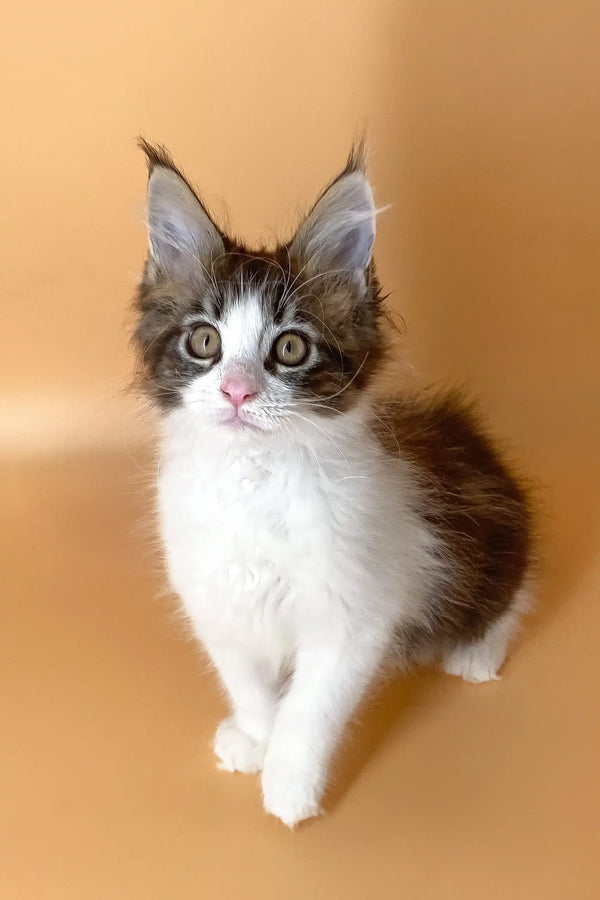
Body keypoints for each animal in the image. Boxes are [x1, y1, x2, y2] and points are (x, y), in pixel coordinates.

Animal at [134, 142, 532, 828]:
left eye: (291, 348)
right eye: (205, 341)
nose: (237, 391)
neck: (254, 480)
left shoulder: (354, 615)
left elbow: (308, 710)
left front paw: (289, 784)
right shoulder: (216, 600)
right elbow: (250, 686)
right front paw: (254, 739)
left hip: (489, 546)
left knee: (513, 595)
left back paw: (475, 654)